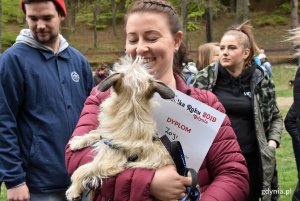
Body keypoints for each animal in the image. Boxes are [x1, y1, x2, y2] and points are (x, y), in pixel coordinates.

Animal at [64, 56, 175, 201]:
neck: (132, 109)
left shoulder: (109, 161)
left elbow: (82, 169)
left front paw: (73, 190)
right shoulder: (108, 136)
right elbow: (97, 132)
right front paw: (79, 141)